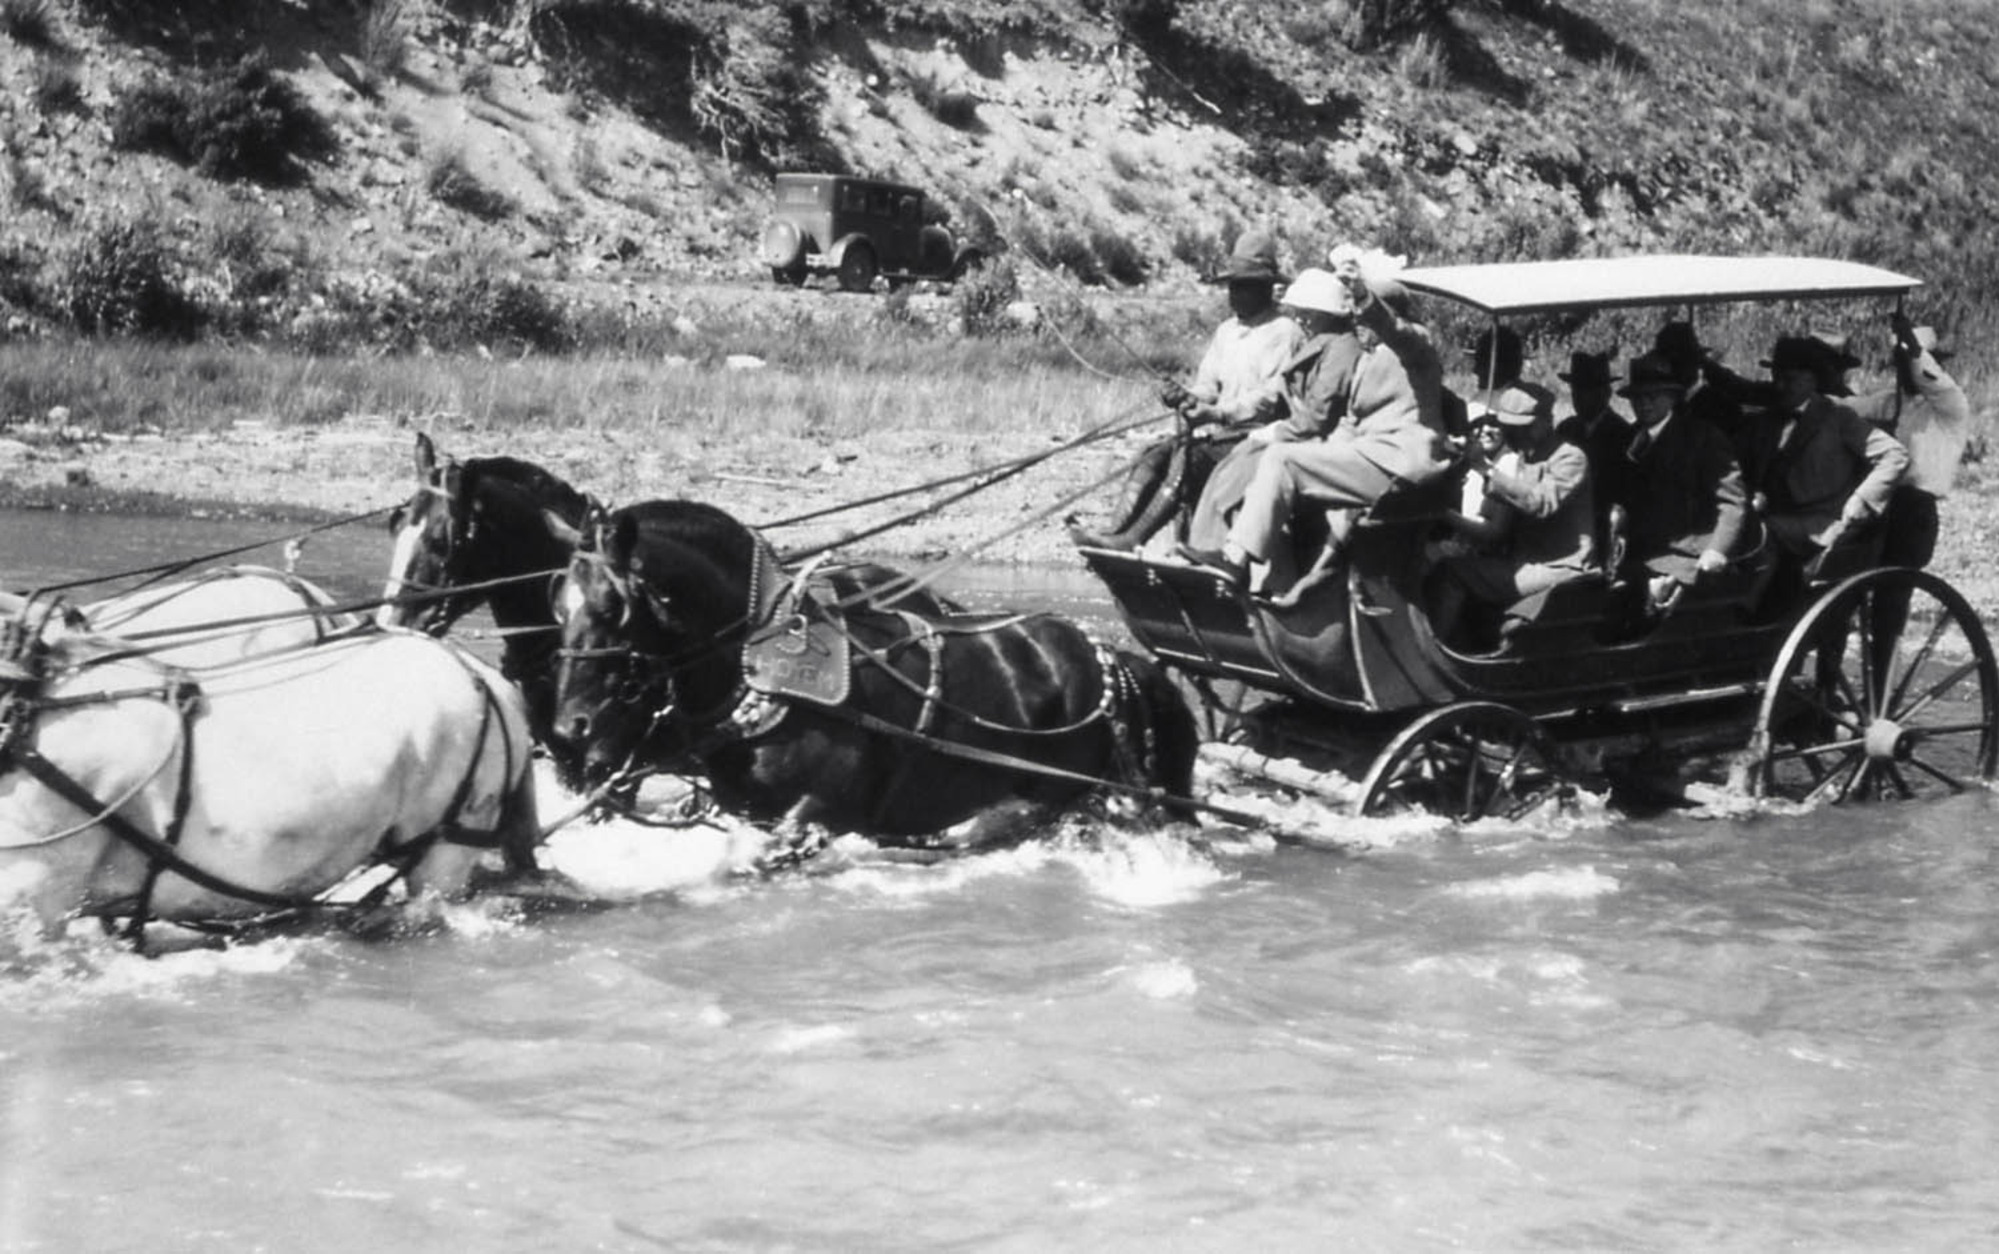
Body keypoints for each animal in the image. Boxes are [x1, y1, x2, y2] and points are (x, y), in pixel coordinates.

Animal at [547, 500, 1191, 844]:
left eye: (611, 608)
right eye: (558, 606)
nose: (569, 729)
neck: (762, 668)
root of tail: (1104, 654)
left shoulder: (811, 821)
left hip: (1060, 796)